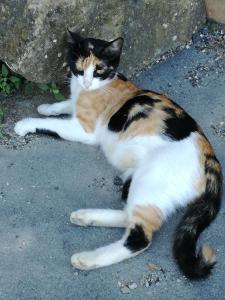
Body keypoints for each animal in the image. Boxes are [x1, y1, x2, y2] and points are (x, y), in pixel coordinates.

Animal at [14, 31, 223, 280]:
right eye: (80, 67)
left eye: (99, 69)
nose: (86, 82)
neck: (95, 87)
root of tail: (211, 159)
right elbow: (64, 105)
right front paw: (48, 107)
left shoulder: (84, 130)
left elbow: (52, 124)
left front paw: (25, 124)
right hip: (137, 184)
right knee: (128, 214)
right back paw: (86, 216)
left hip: (150, 181)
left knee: (139, 238)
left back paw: (86, 258)